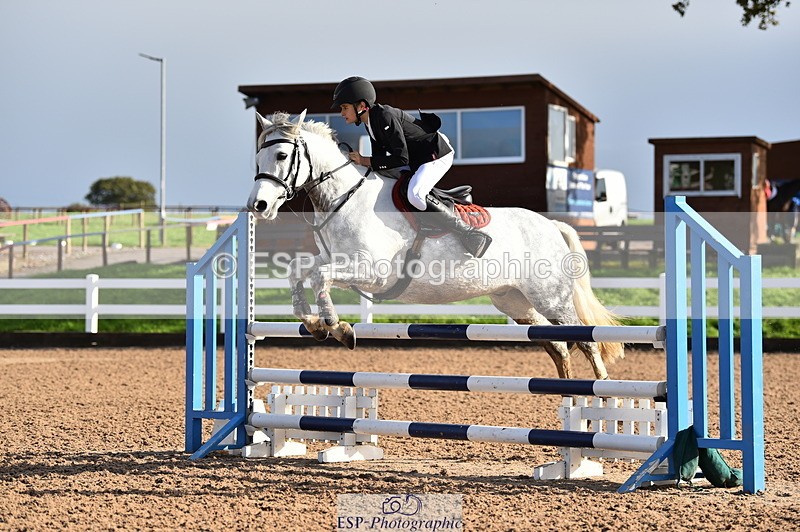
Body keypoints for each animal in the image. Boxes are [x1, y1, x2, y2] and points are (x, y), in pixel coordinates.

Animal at [247, 110, 623, 379]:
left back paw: (597, 400)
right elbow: (300, 271)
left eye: (282, 155)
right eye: (258, 159)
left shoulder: (372, 272)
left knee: (585, 341)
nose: (258, 206)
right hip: (515, 301)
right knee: (558, 346)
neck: (345, 198)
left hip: (552, 299)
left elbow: (320, 277)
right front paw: (314, 323)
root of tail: (550, 225)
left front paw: (337, 327)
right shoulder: (337, 261)